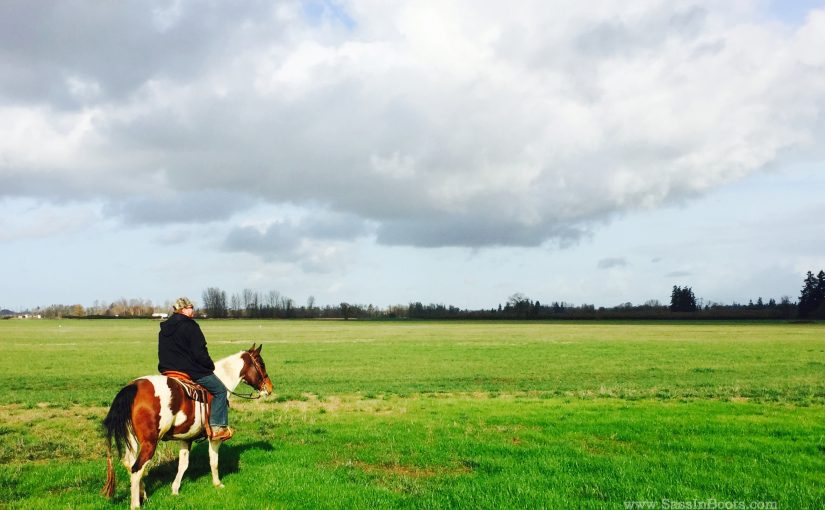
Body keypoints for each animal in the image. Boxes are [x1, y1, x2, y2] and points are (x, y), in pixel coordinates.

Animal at [100, 344, 274, 508]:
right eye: (262, 364)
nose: (270, 388)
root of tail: (133, 387)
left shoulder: (186, 438)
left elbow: (183, 465)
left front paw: (175, 490)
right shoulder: (215, 437)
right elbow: (214, 460)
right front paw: (217, 484)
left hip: (132, 440)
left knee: (129, 463)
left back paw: (144, 495)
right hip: (149, 443)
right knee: (137, 468)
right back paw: (136, 504)